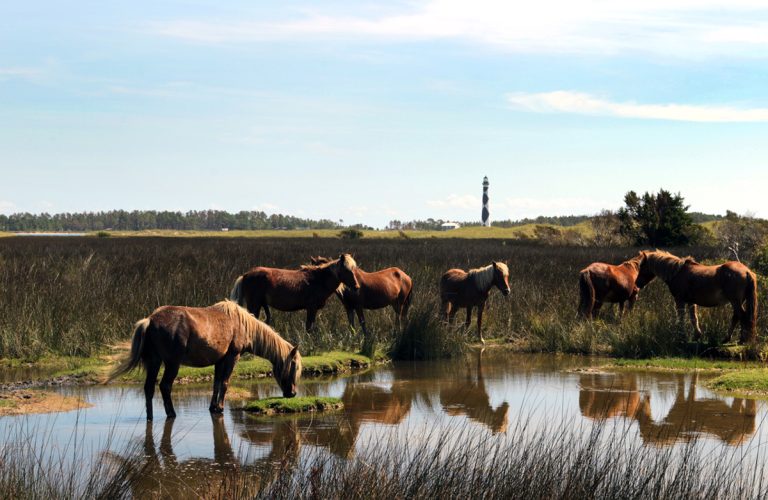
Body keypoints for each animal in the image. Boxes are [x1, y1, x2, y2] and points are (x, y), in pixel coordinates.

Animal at [108, 298, 300, 420]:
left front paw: (213, 407)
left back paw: (150, 417)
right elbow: (225, 383)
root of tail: (150, 320)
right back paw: (171, 414)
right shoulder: (232, 357)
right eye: (294, 366)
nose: (292, 393)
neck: (242, 325)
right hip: (172, 364)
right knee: (165, 386)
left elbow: (216, 384)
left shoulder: (219, 361)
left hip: (154, 362)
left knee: (149, 388)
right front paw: (220, 408)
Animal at [228, 254, 360, 332]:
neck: (318, 279)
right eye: (347, 270)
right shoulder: (311, 308)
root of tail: (245, 275)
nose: (357, 287)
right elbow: (309, 327)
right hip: (254, 305)